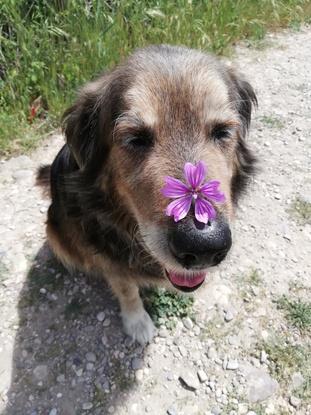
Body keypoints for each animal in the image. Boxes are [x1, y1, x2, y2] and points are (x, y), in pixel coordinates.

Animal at [36, 44, 258, 344]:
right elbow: (126, 288)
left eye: (222, 131)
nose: (204, 247)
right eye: (135, 138)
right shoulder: (111, 261)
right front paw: (137, 321)